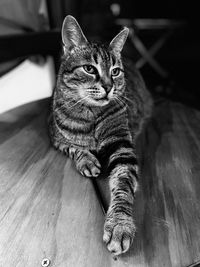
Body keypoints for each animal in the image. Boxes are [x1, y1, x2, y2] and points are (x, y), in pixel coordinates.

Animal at [49, 15, 152, 258]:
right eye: (89, 68)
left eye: (115, 71)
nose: (108, 86)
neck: (89, 114)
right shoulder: (55, 135)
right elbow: (73, 147)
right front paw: (87, 160)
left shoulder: (121, 145)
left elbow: (123, 183)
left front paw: (120, 225)